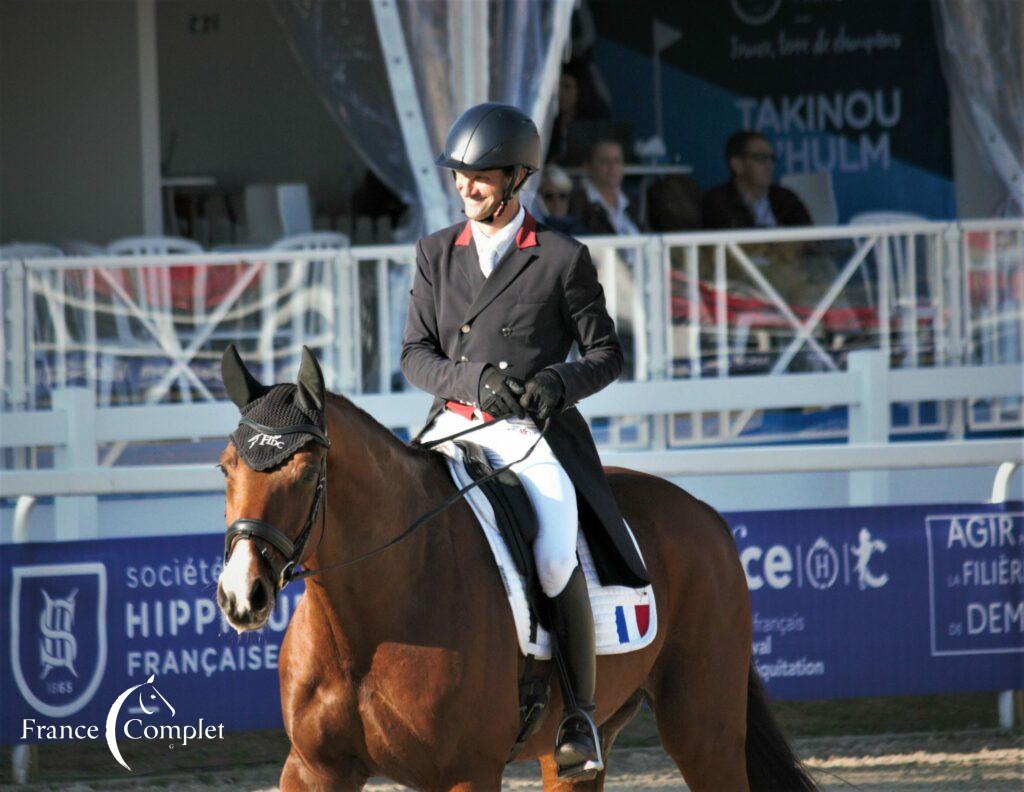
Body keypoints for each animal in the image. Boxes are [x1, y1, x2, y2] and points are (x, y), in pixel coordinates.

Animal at [216, 348, 815, 790]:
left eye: (305, 469)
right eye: (225, 467)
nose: (241, 595)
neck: (365, 628)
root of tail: (706, 515)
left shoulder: (466, 774)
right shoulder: (314, 769)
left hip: (704, 732)